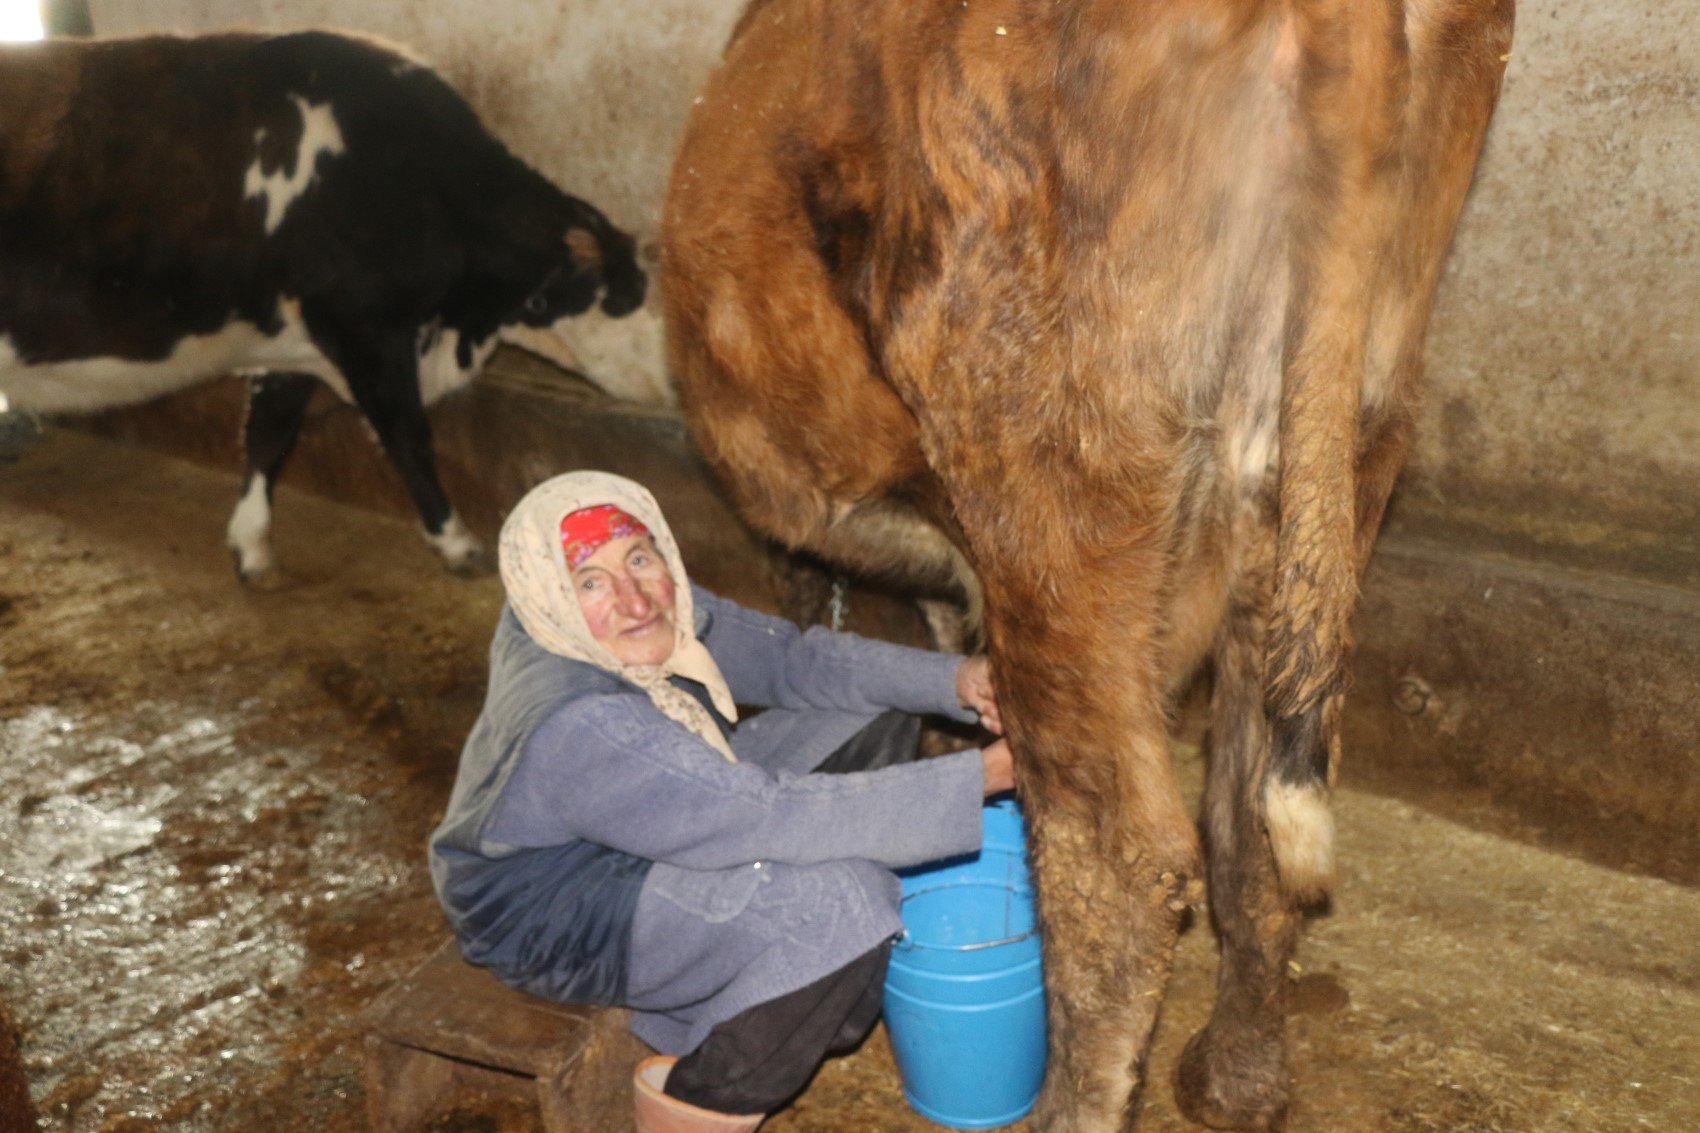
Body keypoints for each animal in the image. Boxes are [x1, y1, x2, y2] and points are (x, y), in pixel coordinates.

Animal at [0, 30, 646, 578]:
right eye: (628, 292)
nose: (664, 383)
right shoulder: (366, 327)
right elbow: (407, 436)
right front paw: (458, 542)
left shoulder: (290, 339)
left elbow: (267, 433)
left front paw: (253, 545)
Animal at [663, 4, 1516, 1122]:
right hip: (1339, 455)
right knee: (1249, 822)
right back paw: (1234, 1080)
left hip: (1043, 457)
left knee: (1118, 856)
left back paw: (1070, 1103)